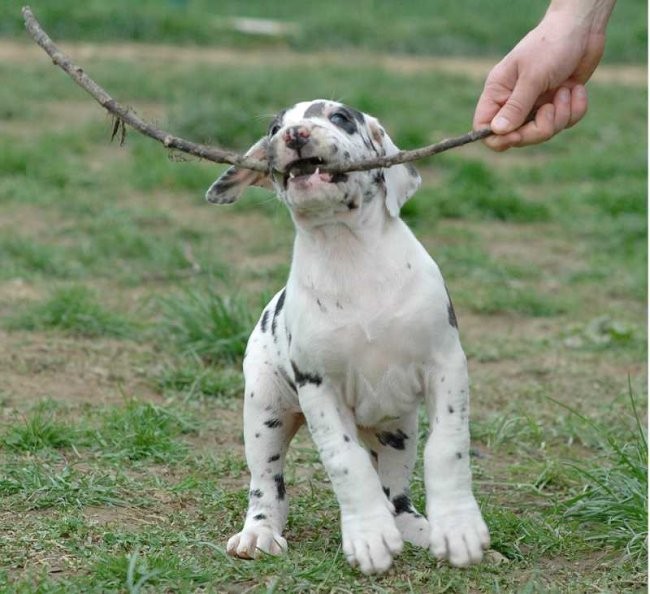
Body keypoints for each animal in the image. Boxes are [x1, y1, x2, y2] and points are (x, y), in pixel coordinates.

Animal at [206, 99, 486, 572]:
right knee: (267, 485)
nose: (296, 134)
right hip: (264, 410)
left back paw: (417, 529)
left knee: (397, 496)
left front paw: (458, 528)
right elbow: (345, 461)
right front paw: (369, 537)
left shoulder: (446, 365)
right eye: (274, 127)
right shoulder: (319, 387)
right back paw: (259, 533)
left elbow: (447, 447)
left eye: (338, 117)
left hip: (397, 429)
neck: (347, 251)